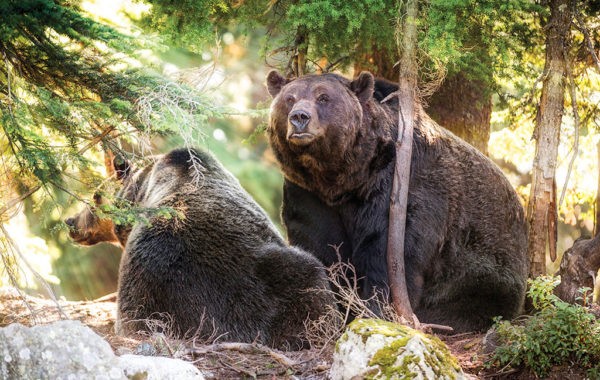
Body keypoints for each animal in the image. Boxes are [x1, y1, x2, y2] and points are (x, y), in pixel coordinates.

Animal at [264, 71, 528, 332]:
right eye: (289, 98)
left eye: (323, 97)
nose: (299, 117)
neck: (343, 178)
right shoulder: (309, 194)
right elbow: (320, 245)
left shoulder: (397, 187)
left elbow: (387, 252)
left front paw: (377, 309)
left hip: (483, 264)